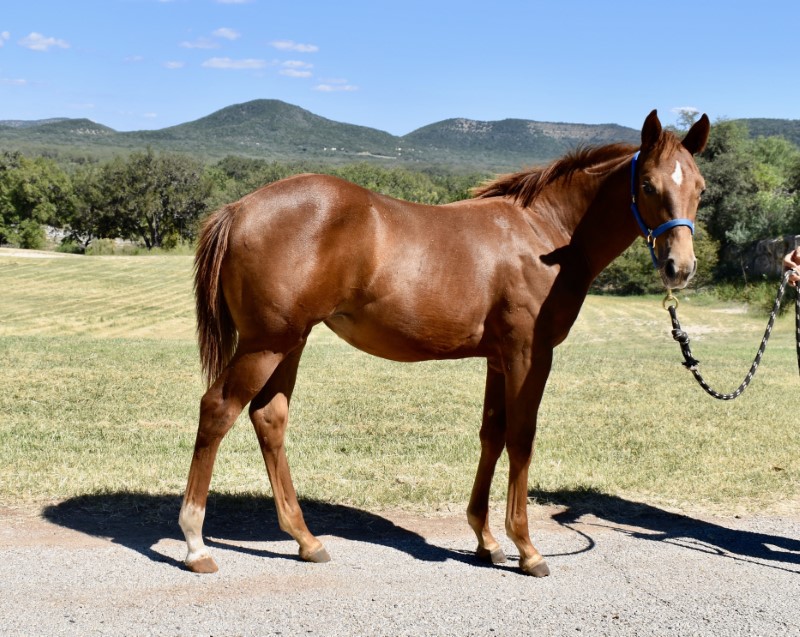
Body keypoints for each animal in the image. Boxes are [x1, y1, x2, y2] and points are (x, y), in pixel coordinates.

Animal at [178, 109, 708, 576]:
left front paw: (487, 540)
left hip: (289, 343)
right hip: (266, 344)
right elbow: (521, 439)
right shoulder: (528, 355)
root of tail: (238, 209)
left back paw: (305, 540)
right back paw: (196, 543)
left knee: (269, 418)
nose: (679, 268)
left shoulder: (499, 360)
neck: (546, 234)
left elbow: (492, 435)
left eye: (699, 187)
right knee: (218, 410)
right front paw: (526, 547)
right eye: (648, 185)